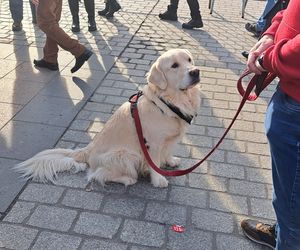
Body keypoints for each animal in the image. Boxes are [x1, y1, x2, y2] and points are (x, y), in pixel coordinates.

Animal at [15, 48, 200, 188]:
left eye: (189, 60)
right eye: (174, 66)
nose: (195, 71)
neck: (168, 102)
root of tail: (88, 150)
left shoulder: (169, 140)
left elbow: (168, 151)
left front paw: (171, 161)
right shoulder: (152, 144)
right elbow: (154, 164)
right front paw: (159, 179)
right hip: (124, 155)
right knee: (98, 175)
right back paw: (127, 179)